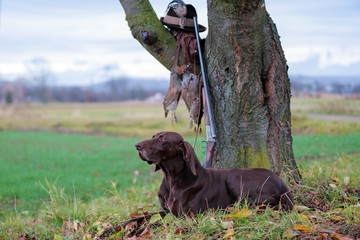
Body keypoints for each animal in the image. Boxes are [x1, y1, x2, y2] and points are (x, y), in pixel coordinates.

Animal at [135, 132, 292, 217]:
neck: (171, 178)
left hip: (234, 176)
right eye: (154, 136)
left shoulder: (185, 215)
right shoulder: (165, 211)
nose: (137, 145)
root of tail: (284, 186)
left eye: (162, 139)